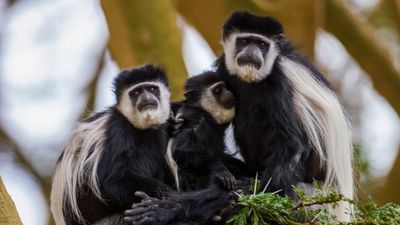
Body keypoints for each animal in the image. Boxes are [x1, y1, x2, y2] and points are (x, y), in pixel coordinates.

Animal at [50, 64, 175, 225]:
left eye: (152, 89)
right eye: (136, 92)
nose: (146, 98)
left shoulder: (159, 132)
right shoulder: (118, 129)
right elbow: (114, 179)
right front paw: (168, 199)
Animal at [216, 11, 354, 221]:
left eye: (262, 44)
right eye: (245, 41)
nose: (252, 52)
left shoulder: (280, 80)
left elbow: (292, 145)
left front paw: (252, 196)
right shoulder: (223, 69)